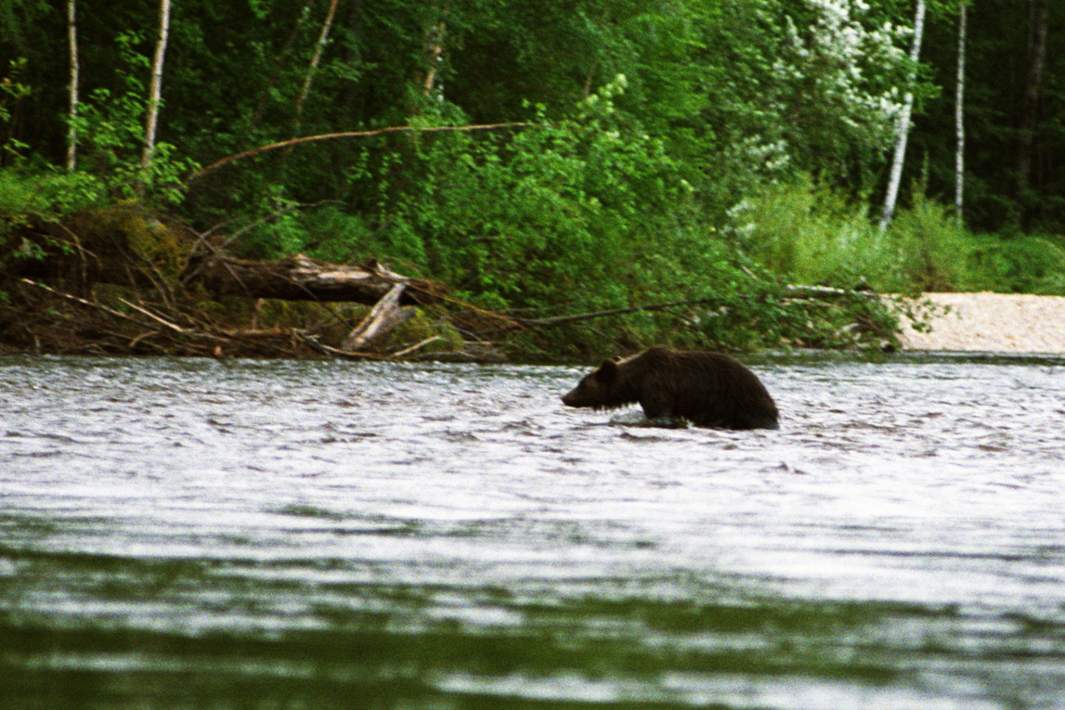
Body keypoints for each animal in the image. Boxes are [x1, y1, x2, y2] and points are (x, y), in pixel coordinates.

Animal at [561, 346, 779, 430]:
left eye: (581, 384)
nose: (564, 397)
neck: (637, 381)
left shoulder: (658, 388)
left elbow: (659, 413)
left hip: (740, 401)